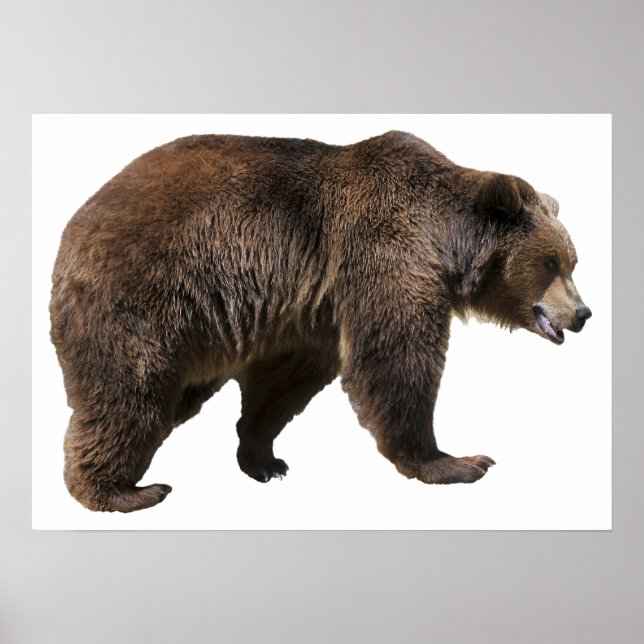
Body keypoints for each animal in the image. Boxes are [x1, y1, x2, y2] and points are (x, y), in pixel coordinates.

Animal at [50, 130, 592, 512]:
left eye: (572, 261)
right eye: (551, 262)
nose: (583, 313)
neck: (445, 245)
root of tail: (75, 223)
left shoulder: (308, 311)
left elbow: (285, 380)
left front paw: (264, 458)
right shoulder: (384, 252)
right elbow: (394, 361)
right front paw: (457, 461)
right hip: (147, 297)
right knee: (130, 390)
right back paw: (122, 491)